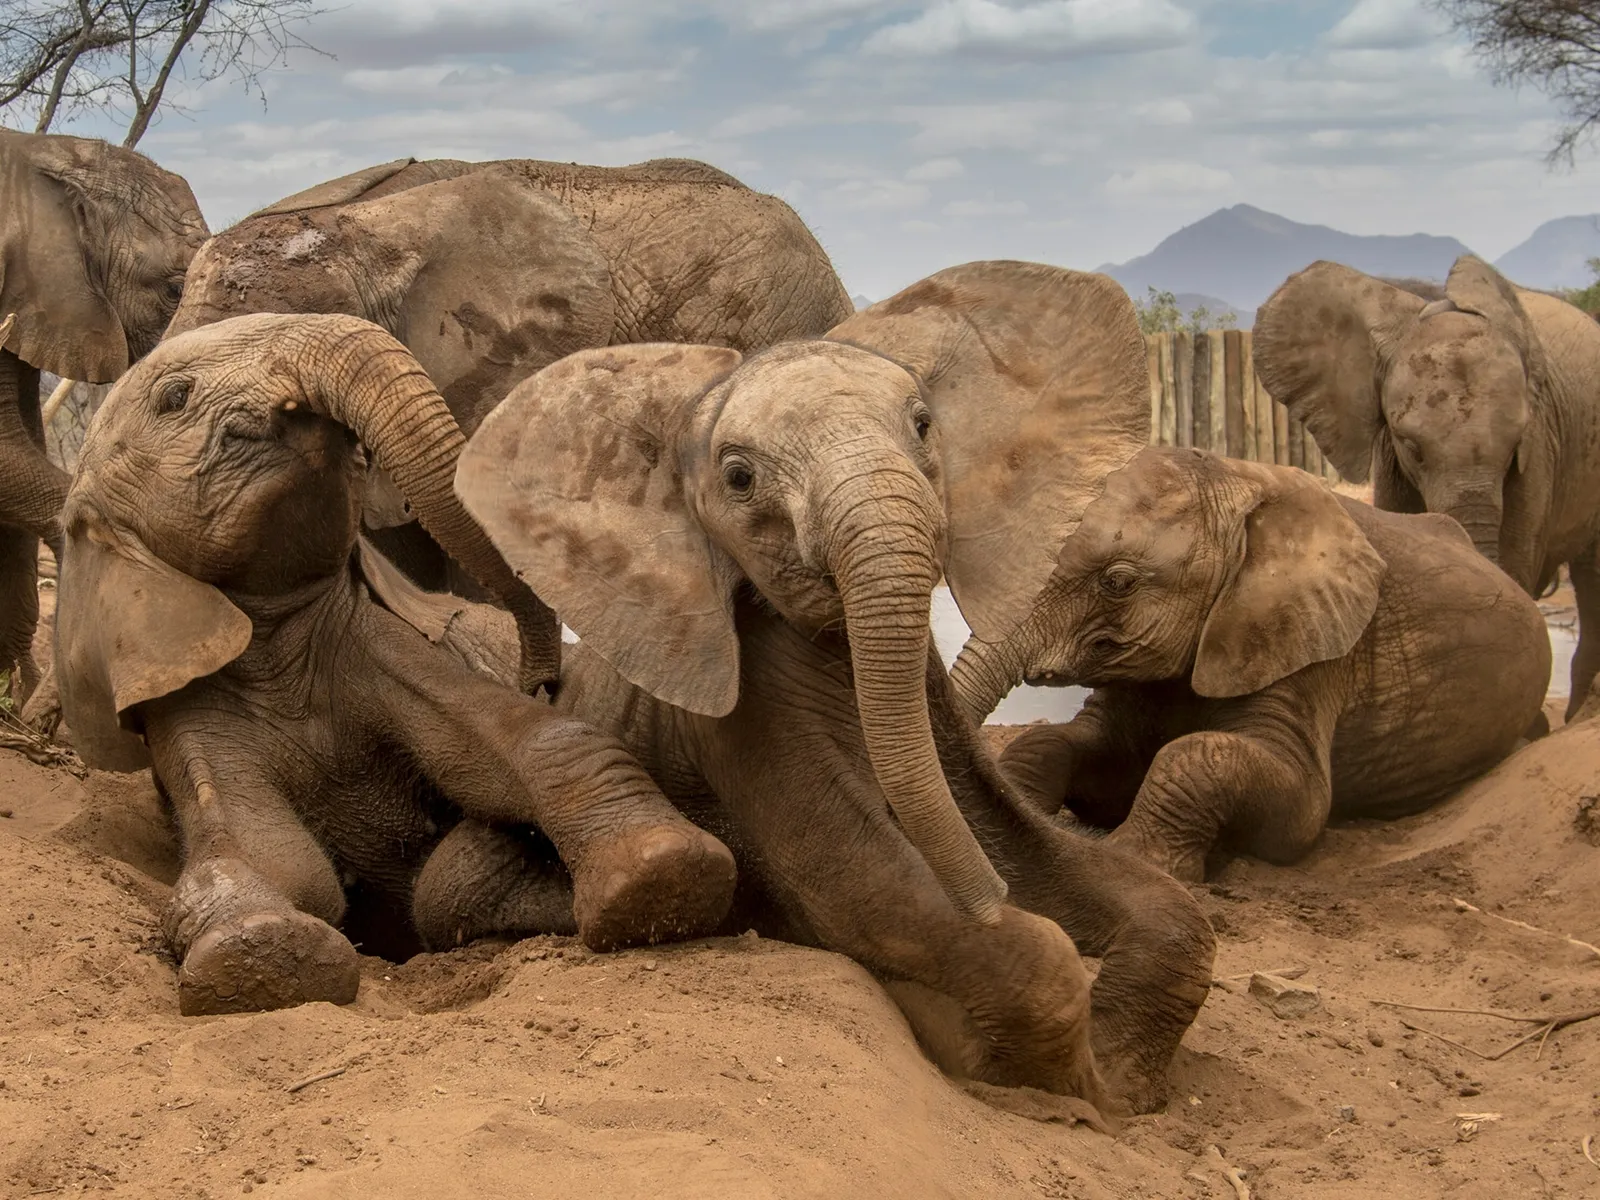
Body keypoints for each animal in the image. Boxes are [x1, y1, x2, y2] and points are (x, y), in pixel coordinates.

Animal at [52, 312, 739, 1016]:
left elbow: (532, 743)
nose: (542, 679)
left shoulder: (378, 646)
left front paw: (663, 880)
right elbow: (275, 856)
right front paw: (264, 961)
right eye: (175, 398)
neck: (277, 635)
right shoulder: (183, 700)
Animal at [453, 261, 1218, 1116]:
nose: (991, 895)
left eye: (923, 424)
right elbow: (860, 883)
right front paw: (1055, 1071)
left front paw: (1122, 1077)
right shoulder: (742, 729)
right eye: (739, 478)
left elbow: (1123, 889)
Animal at [950, 446, 1550, 884]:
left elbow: (1287, 799)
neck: (1238, 487)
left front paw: (1137, 864)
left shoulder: (1312, 649)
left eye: (1117, 582)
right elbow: (1062, 745)